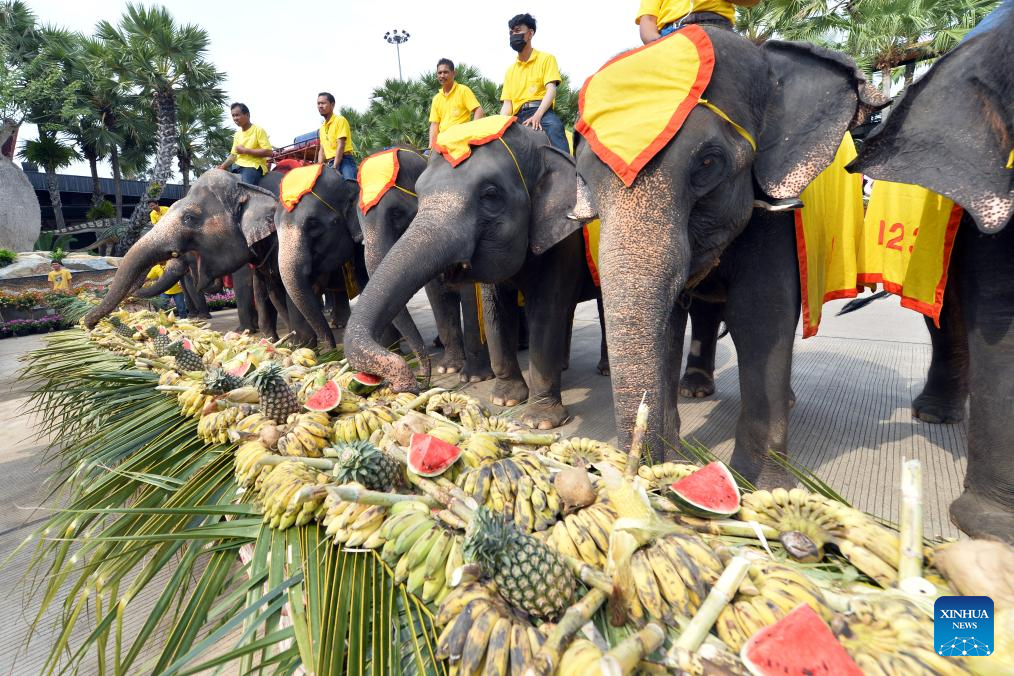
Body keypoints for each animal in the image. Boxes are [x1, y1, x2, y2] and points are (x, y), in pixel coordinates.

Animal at [357, 147, 494, 383]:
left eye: (396, 213)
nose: (421, 376)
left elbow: (470, 293)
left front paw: (473, 377)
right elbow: (436, 294)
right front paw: (449, 369)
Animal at [574, 28, 886, 486]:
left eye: (707, 162)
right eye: (584, 179)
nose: (635, 464)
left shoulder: (773, 209)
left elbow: (760, 316)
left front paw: (761, 486)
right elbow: (670, 320)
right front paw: (674, 462)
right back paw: (695, 389)